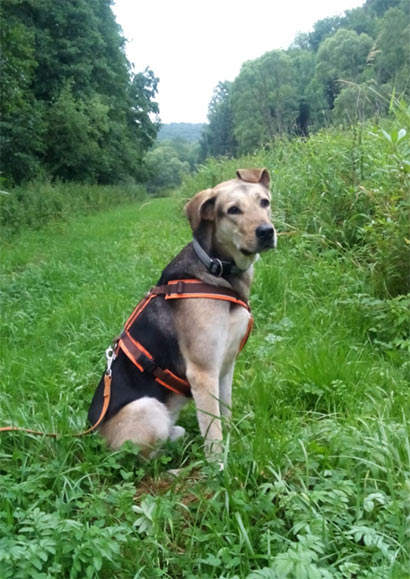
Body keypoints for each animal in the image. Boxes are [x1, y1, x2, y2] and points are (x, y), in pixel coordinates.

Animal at [88, 168, 276, 461]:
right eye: (233, 210)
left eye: (264, 202)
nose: (267, 231)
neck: (216, 270)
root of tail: (94, 437)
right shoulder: (203, 373)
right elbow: (213, 434)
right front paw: (219, 466)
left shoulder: (226, 365)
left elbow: (225, 413)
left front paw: (233, 439)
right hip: (148, 408)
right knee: (146, 458)